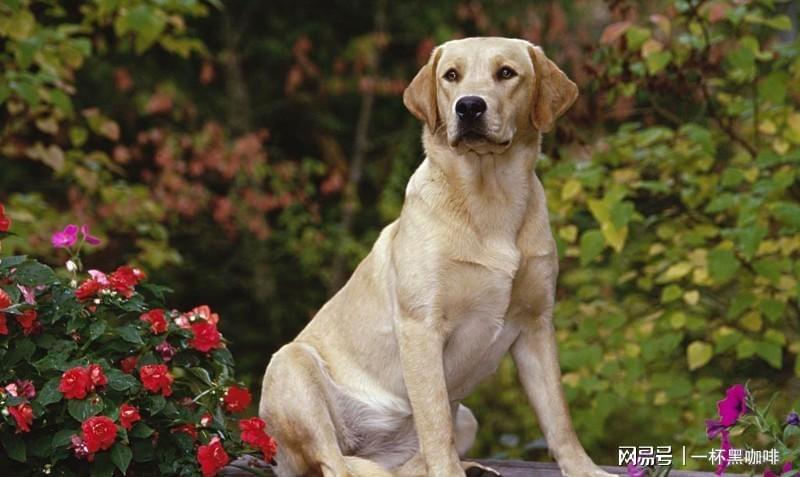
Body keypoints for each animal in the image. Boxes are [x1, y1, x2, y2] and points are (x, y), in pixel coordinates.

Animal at [260, 37, 616, 476]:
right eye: (451, 75)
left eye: (506, 73)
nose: (470, 107)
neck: (490, 201)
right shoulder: (422, 327)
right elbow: (435, 425)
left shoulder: (536, 325)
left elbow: (558, 418)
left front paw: (585, 468)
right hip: (291, 366)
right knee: (335, 461)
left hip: (468, 418)